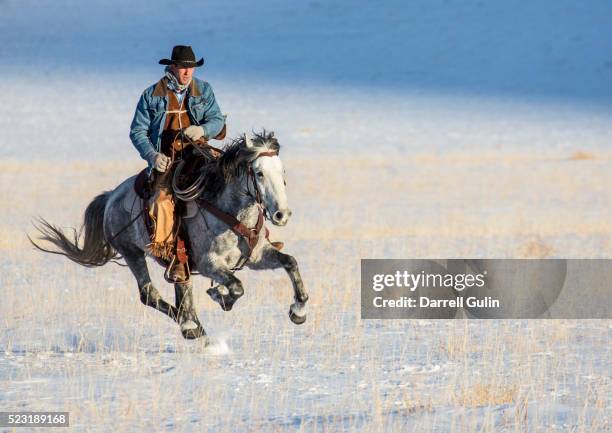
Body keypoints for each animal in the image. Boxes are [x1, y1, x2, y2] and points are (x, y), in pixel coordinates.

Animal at [30, 130, 308, 340]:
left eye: (282, 172)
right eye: (259, 173)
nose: (282, 214)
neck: (230, 211)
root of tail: (110, 197)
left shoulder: (256, 257)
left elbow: (290, 262)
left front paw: (298, 311)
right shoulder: (208, 263)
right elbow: (237, 286)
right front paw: (220, 295)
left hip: (174, 262)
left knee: (181, 289)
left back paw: (192, 325)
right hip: (132, 253)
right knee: (150, 294)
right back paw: (190, 326)